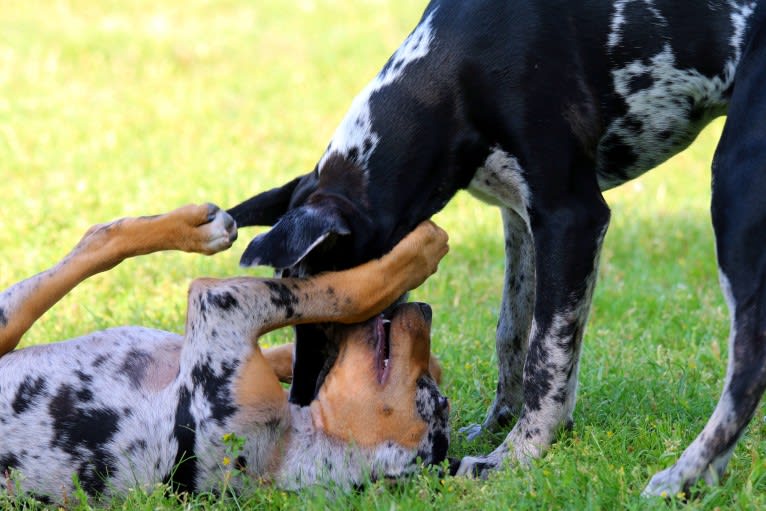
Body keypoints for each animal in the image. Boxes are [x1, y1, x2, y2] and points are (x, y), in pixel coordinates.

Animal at [0, 202, 450, 502]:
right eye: (437, 398)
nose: (425, 310)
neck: (285, 454)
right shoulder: (226, 315)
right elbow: (345, 297)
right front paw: (420, 253)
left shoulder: (221, 307)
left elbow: (346, 295)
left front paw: (419, 254)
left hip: (7, 319)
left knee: (98, 241)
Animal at [231, 0, 766, 496]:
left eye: (331, 312)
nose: (298, 404)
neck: (457, 78)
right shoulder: (520, 218)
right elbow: (513, 333)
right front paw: (501, 423)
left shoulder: (571, 217)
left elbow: (545, 357)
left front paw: (517, 454)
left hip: (734, 186)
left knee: (748, 359)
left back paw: (688, 472)